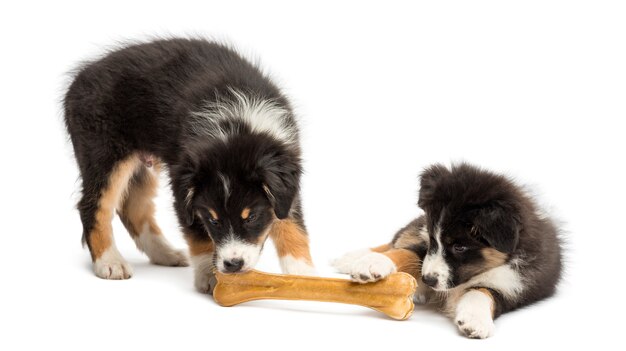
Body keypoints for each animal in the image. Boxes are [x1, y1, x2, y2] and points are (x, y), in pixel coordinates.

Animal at [64, 37, 312, 294]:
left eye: (251, 217)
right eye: (212, 220)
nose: (233, 264)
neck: (235, 127)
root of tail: (78, 80)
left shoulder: (286, 178)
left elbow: (294, 226)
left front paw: (303, 276)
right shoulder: (184, 190)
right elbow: (198, 236)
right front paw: (209, 276)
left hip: (142, 163)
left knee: (134, 206)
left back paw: (165, 254)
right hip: (104, 155)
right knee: (93, 206)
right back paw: (110, 262)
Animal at [334, 164, 564, 340]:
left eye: (459, 247)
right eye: (433, 239)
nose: (428, 280)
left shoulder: (514, 285)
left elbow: (481, 292)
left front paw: (475, 321)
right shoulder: (425, 243)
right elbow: (406, 253)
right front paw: (371, 263)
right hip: (415, 228)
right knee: (396, 240)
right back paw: (351, 257)